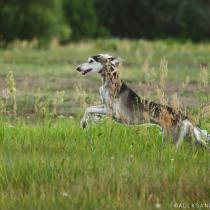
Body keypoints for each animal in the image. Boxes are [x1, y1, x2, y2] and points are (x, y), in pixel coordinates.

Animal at [76, 53, 209, 147]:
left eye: (91, 61)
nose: (77, 68)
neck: (109, 81)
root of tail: (182, 115)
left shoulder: (113, 112)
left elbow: (90, 109)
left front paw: (86, 122)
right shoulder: (105, 106)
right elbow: (89, 108)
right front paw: (92, 120)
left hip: (171, 138)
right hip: (189, 138)